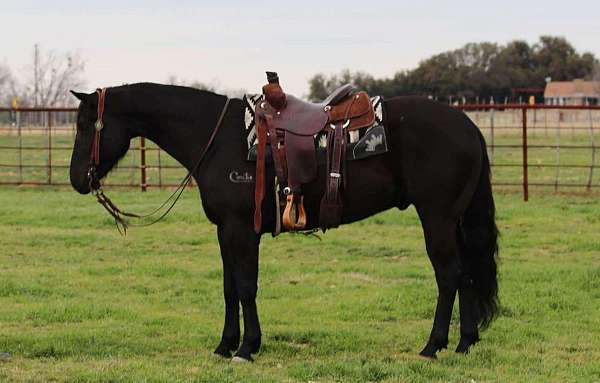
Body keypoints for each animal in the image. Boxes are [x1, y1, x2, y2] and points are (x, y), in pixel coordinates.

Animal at [69, 83, 496, 364]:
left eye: (88, 126)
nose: (76, 179)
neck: (220, 139)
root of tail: (468, 126)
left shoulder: (241, 230)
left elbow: (245, 286)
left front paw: (246, 348)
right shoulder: (225, 231)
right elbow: (229, 288)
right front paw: (226, 345)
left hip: (437, 218)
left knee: (449, 275)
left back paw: (433, 346)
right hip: (453, 221)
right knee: (467, 275)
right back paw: (465, 343)